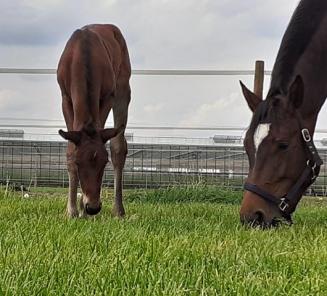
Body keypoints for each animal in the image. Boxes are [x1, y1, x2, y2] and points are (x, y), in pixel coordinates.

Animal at [57, 24, 131, 217]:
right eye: (78, 162)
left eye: (104, 162)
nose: (93, 207)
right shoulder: (65, 97)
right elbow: (70, 149)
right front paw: (72, 210)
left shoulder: (108, 96)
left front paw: (81, 210)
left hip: (123, 87)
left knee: (118, 147)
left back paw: (118, 210)